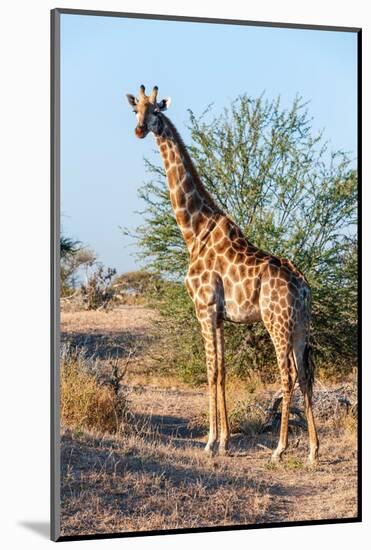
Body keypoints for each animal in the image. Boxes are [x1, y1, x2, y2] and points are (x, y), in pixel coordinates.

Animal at [125, 85, 320, 466]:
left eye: (156, 110)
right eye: (135, 109)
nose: (140, 130)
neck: (194, 231)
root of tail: (303, 286)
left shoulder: (203, 308)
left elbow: (210, 370)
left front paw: (211, 442)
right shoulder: (218, 314)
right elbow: (223, 370)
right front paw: (225, 441)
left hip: (277, 322)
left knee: (288, 375)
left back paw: (280, 449)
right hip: (301, 324)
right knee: (305, 374)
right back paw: (313, 451)